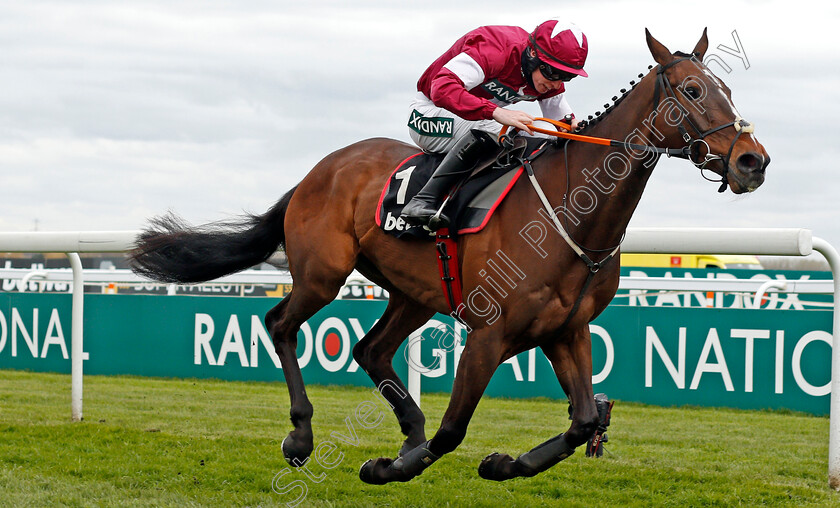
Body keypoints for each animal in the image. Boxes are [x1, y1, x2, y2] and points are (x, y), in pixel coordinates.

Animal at [130, 30, 768, 484]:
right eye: (693, 91)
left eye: (729, 91)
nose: (751, 161)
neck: (571, 216)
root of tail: (320, 170)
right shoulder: (489, 335)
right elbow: (454, 430)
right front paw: (388, 468)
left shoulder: (567, 329)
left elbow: (586, 417)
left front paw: (502, 464)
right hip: (322, 274)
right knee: (280, 324)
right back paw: (302, 438)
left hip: (414, 293)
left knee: (370, 349)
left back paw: (404, 431)